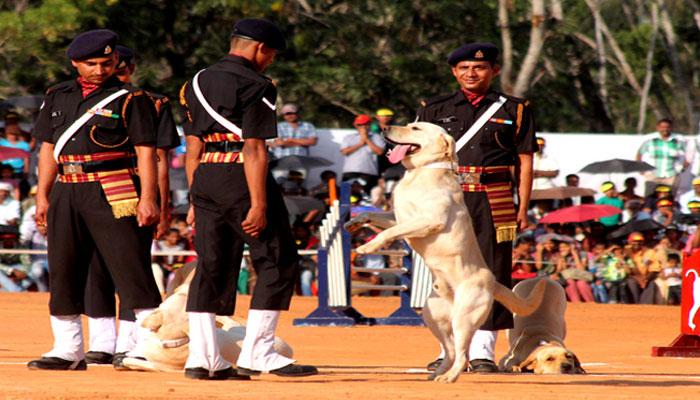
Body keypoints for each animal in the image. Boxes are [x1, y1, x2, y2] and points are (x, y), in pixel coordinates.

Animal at [123, 276, 292, 372]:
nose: (185, 287)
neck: (174, 342)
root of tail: (288, 351)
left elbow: (128, 359)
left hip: (236, 329)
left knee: (230, 321)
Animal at [356, 122, 548, 384]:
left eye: (415, 127)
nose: (385, 127)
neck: (421, 171)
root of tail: (493, 282)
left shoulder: (428, 221)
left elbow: (389, 232)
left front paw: (367, 246)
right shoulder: (400, 217)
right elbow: (377, 218)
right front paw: (354, 222)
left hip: (463, 318)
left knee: (462, 354)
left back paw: (450, 377)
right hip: (433, 317)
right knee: (450, 350)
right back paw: (437, 373)